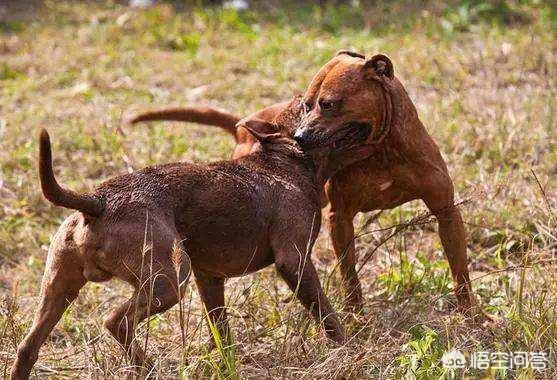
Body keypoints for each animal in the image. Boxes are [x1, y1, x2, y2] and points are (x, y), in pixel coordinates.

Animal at [10, 98, 368, 380]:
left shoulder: (209, 278)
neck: (284, 161)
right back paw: (148, 369)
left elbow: (221, 330)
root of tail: (96, 201)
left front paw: (228, 365)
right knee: (115, 321)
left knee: (28, 347)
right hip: (168, 281)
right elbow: (327, 315)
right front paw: (350, 352)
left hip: (59, 288)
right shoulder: (294, 260)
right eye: (308, 105)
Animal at [129, 52, 478, 316]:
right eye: (306, 104)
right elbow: (349, 275)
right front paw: (355, 316)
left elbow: (460, 269)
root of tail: (244, 126)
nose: (299, 138)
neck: (382, 153)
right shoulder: (340, 218)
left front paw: (471, 314)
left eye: (329, 104)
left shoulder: (446, 211)